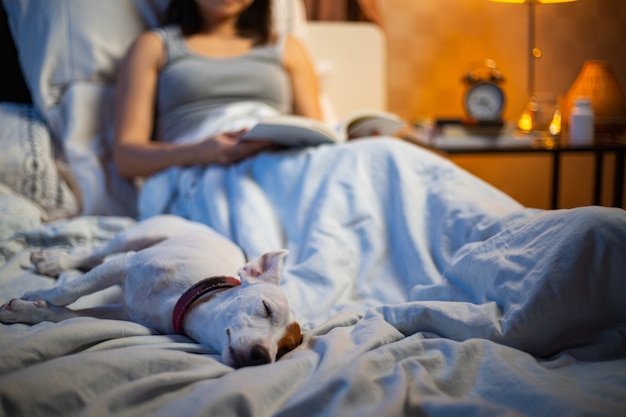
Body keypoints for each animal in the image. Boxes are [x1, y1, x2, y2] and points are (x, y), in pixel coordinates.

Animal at [0, 214, 302, 368]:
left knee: (97, 260)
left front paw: (30, 311)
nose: (262, 357)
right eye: (266, 308)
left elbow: (67, 315)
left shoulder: (122, 313)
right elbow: (70, 289)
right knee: (97, 253)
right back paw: (56, 261)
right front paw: (36, 297)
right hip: (133, 238)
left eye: (284, 349)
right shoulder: (125, 264)